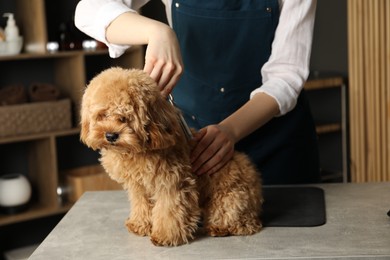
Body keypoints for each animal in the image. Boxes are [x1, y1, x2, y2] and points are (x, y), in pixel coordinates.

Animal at [79, 66, 262, 246]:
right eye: (102, 115)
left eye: (125, 118)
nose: (110, 136)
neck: (137, 150)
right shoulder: (139, 187)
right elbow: (141, 204)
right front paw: (140, 224)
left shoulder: (172, 184)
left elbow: (169, 211)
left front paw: (165, 236)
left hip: (230, 197)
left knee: (240, 221)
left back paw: (221, 227)